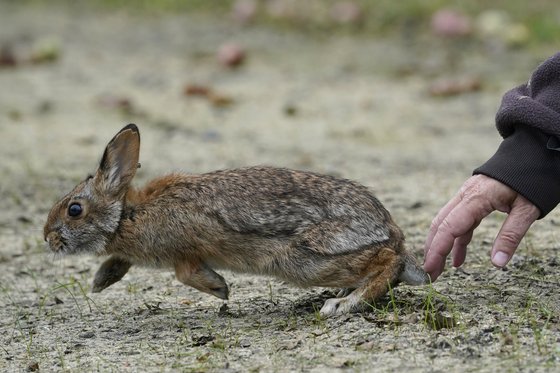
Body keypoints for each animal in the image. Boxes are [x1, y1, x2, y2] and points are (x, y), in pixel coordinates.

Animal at [43, 123, 428, 316]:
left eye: (74, 209)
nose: (47, 237)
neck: (127, 216)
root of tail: (389, 230)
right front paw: (100, 281)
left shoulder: (185, 251)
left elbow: (187, 275)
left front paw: (220, 289)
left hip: (306, 257)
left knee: (387, 262)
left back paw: (343, 304)